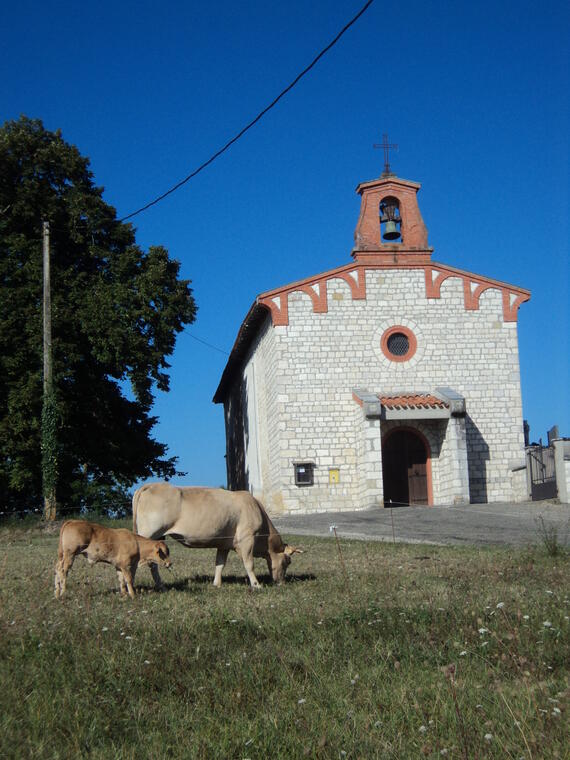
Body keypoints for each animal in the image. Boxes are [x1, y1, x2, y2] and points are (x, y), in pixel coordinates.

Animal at [133, 480, 302, 588]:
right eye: (288, 561)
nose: (282, 583)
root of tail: (151, 485)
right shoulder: (247, 538)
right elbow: (249, 563)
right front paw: (256, 585)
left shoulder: (224, 543)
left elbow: (220, 563)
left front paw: (216, 584)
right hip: (149, 533)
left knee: (153, 563)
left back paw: (160, 586)